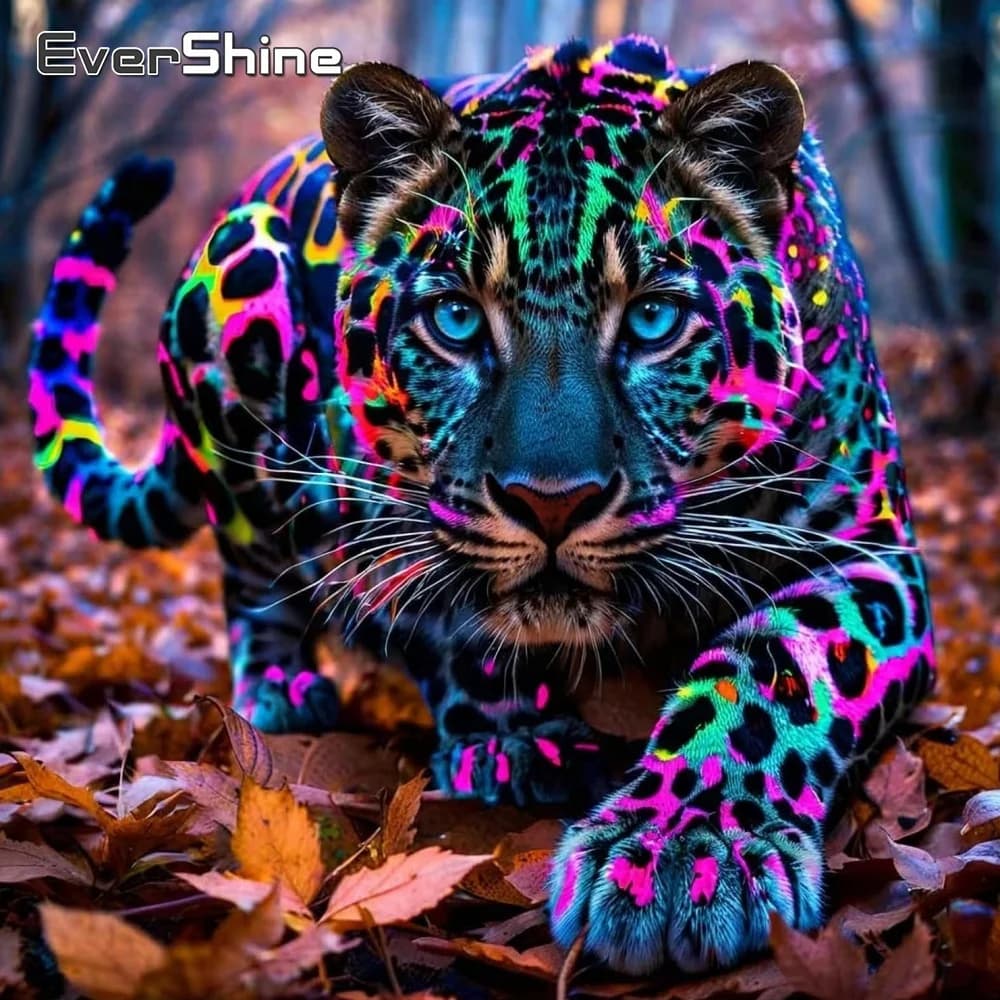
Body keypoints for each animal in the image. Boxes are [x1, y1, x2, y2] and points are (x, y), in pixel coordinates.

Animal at [28, 36, 934, 975]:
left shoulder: (870, 552)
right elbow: (447, 621)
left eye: (652, 320)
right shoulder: (373, 522)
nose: (552, 502)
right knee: (250, 574)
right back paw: (282, 689)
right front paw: (509, 738)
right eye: (457, 320)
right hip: (242, 286)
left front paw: (685, 852)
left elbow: (775, 670)